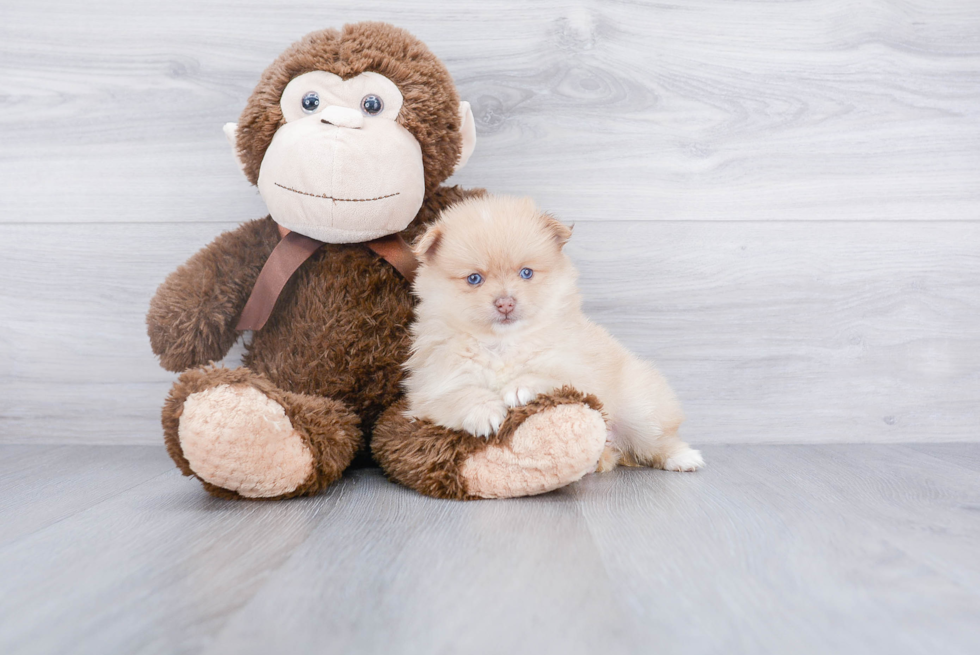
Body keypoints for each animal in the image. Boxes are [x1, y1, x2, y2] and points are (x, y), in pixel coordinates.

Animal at [402, 195, 700, 472]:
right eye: (474, 279)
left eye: (526, 273)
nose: (505, 303)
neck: (502, 343)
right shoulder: (429, 388)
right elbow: (458, 394)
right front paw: (484, 410)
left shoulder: (576, 368)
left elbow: (548, 374)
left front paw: (520, 387)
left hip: (640, 408)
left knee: (659, 439)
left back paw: (683, 458)